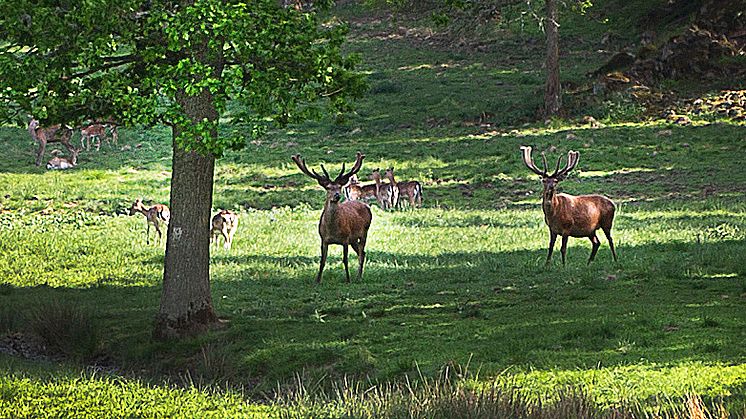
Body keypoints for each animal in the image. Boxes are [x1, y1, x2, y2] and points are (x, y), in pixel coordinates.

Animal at [290, 153, 372, 284]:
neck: (332, 230)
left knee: (361, 252)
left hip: (364, 232)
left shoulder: (345, 239)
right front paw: (317, 280)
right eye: (328, 187)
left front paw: (348, 279)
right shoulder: (323, 239)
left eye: (339, 187)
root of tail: (366, 206)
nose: (337, 195)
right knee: (362, 252)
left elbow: (345, 259)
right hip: (353, 239)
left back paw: (358, 276)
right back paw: (358, 275)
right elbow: (322, 261)